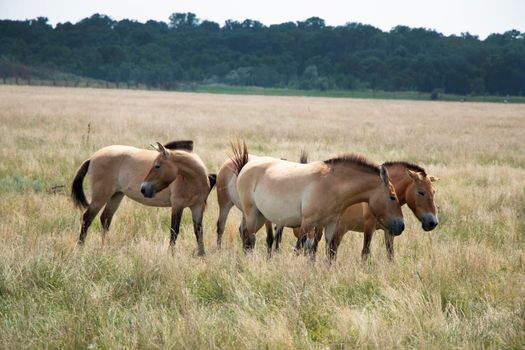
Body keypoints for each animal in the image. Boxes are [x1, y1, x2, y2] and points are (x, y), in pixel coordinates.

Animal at [71, 139, 215, 254]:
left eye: (157, 166)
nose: (144, 189)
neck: (193, 180)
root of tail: (92, 157)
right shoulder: (177, 206)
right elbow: (174, 231)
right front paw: (171, 254)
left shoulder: (197, 207)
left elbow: (199, 231)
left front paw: (202, 255)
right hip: (100, 197)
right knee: (87, 218)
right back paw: (80, 248)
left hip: (116, 195)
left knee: (105, 219)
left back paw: (104, 247)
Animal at [231, 140, 404, 258]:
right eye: (392, 197)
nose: (401, 226)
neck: (331, 184)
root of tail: (245, 166)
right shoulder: (307, 223)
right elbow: (302, 248)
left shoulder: (330, 224)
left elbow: (327, 250)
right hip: (252, 214)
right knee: (248, 237)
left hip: (260, 216)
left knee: (248, 237)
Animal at [286, 161, 438, 260]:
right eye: (421, 192)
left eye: (434, 192)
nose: (433, 222)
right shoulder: (369, 227)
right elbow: (365, 253)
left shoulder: (389, 231)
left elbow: (390, 255)